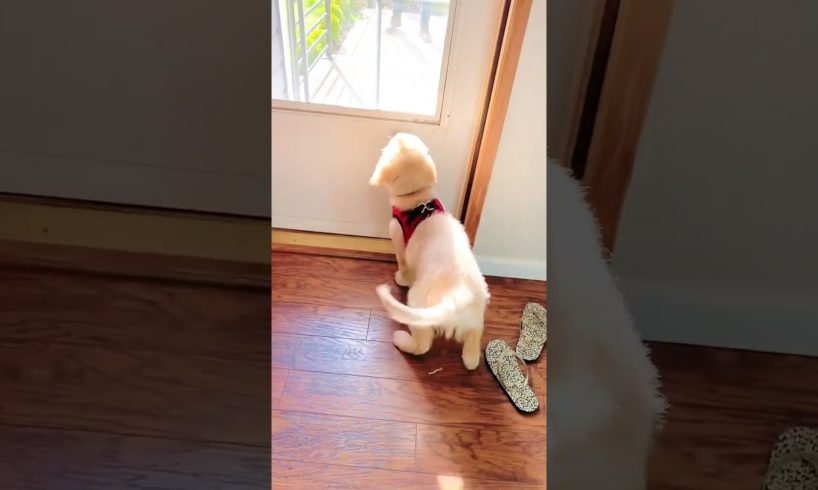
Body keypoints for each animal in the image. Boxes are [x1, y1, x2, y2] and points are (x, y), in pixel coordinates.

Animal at [370, 132, 490, 370]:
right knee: (473, 345)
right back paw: (471, 357)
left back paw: (402, 340)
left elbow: (403, 264)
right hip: (477, 314)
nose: (396, 133)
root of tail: (457, 296)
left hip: (418, 306)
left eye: (391, 144)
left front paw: (400, 278)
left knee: (422, 344)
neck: (418, 200)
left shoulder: (397, 237)